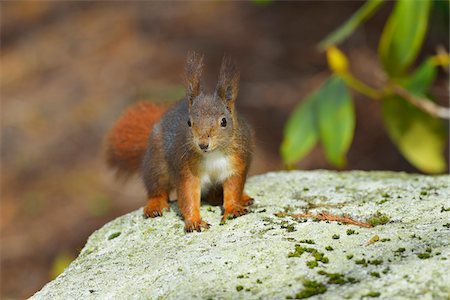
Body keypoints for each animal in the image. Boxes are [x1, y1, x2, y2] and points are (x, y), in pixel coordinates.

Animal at [104, 52, 253, 232]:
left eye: (224, 121)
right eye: (188, 122)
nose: (203, 144)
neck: (213, 154)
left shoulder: (237, 163)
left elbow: (233, 188)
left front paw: (233, 208)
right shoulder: (186, 169)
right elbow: (188, 195)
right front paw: (194, 220)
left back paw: (243, 197)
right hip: (156, 163)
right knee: (157, 188)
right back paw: (155, 205)